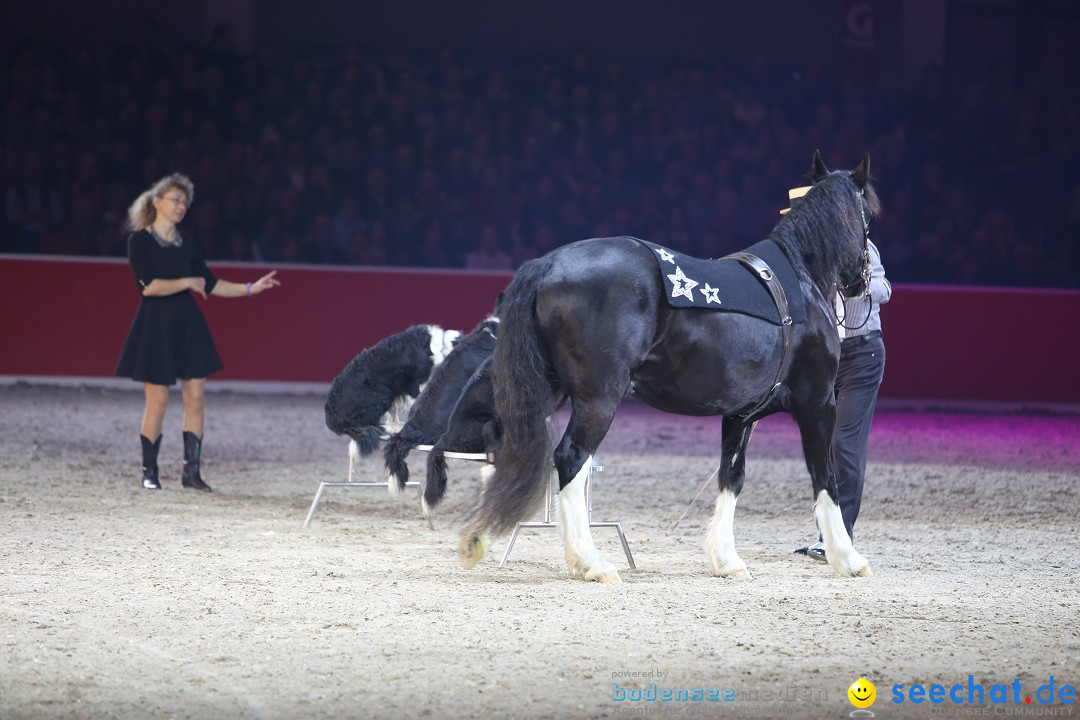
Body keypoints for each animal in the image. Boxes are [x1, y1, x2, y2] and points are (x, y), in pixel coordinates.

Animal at [455, 155, 876, 582]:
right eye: (867, 216)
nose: (861, 280)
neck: (798, 283)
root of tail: (547, 265)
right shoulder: (818, 403)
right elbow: (826, 478)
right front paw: (848, 558)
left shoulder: (741, 415)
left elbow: (732, 477)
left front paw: (727, 560)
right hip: (598, 400)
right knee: (571, 458)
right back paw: (591, 563)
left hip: (542, 391)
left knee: (506, 443)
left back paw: (479, 540)